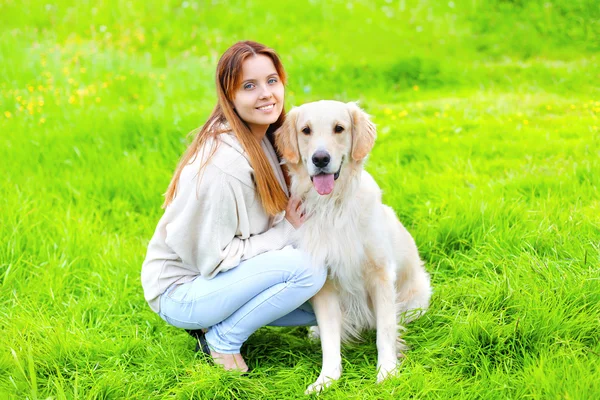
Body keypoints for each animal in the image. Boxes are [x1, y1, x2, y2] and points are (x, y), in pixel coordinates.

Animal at [274, 101, 434, 394]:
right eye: (306, 130)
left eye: (339, 128)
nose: (320, 159)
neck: (333, 206)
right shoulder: (324, 283)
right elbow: (330, 338)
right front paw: (326, 378)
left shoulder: (380, 275)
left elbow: (385, 331)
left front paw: (387, 372)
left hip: (414, 302)